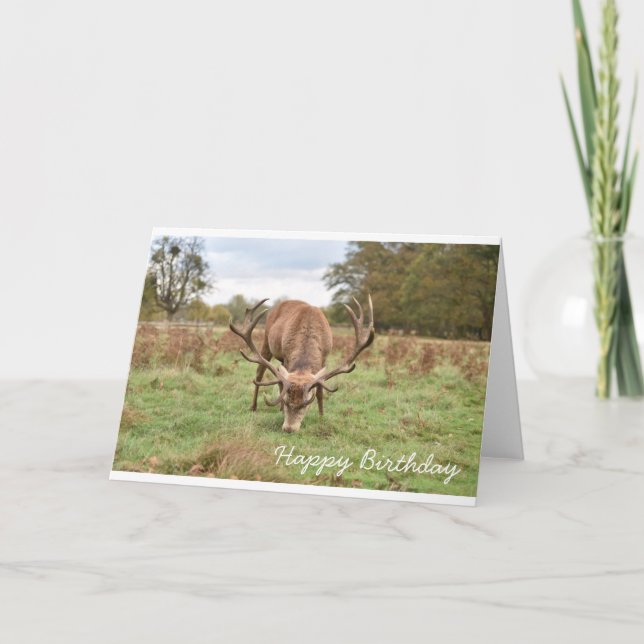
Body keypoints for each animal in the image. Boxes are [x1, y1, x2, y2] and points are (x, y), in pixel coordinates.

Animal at [229, 296, 374, 433]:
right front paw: (282, 411)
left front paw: (321, 416)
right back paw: (254, 407)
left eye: (306, 404)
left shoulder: (324, 358)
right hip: (267, 340)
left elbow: (320, 390)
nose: (289, 429)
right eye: (287, 402)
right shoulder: (287, 357)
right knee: (260, 372)